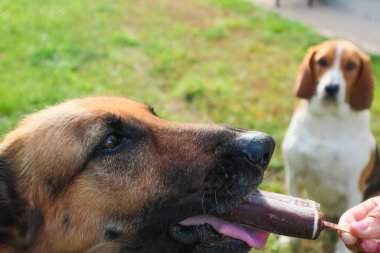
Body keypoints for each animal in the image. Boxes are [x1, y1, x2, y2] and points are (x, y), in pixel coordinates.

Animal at [282, 39, 378, 219]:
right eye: (322, 62)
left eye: (351, 65)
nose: (331, 88)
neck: (328, 118)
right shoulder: (294, 177)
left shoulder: (354, 191)